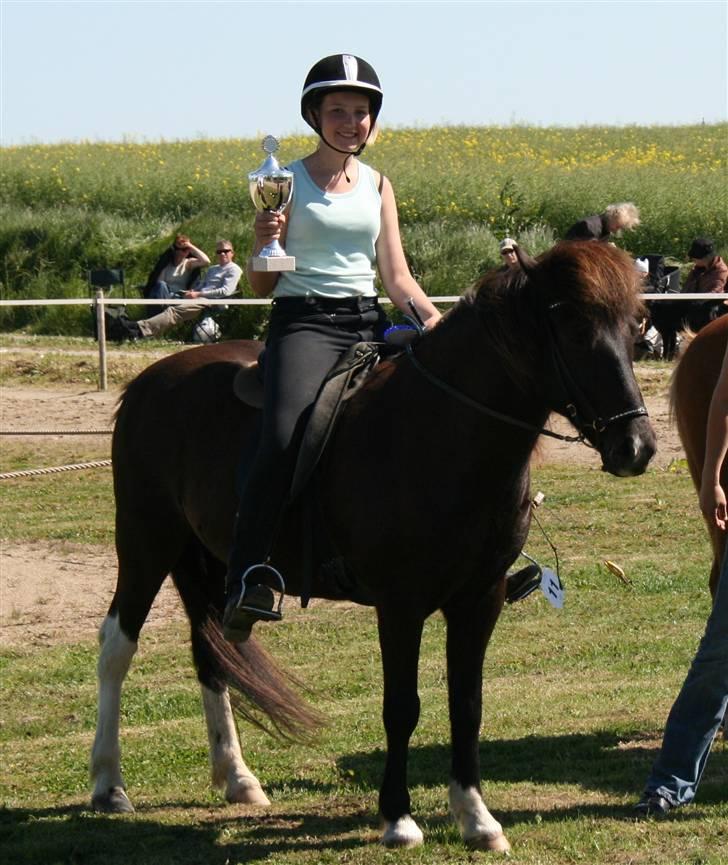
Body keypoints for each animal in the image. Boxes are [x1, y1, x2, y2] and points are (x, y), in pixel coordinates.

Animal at [89, 243, 656, 852]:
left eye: (634, 326)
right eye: (573, 326)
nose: (637, 447)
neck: (442, 433)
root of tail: (151, 381)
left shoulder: (479, 600)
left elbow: (468, 705)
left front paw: (476, 817)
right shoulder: (400, 605)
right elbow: (401, 707)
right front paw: (398, 818)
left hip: (214, 560)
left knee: (209, 650)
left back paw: (237, 777)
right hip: (146, 540)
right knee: (117, 646)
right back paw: (108, 783)